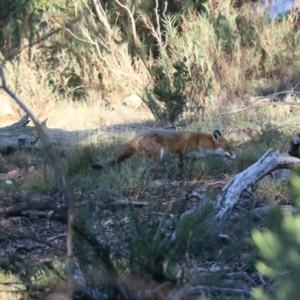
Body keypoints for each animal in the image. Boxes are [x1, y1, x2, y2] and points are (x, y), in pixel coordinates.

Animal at [90, 129, 236, 169]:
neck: (199, 141)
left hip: (145, 157)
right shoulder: (180, 152)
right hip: (157, 156)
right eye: (228, 148)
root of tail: (139, 135)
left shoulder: (195, 158)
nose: (235, 156)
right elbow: (180, 166)